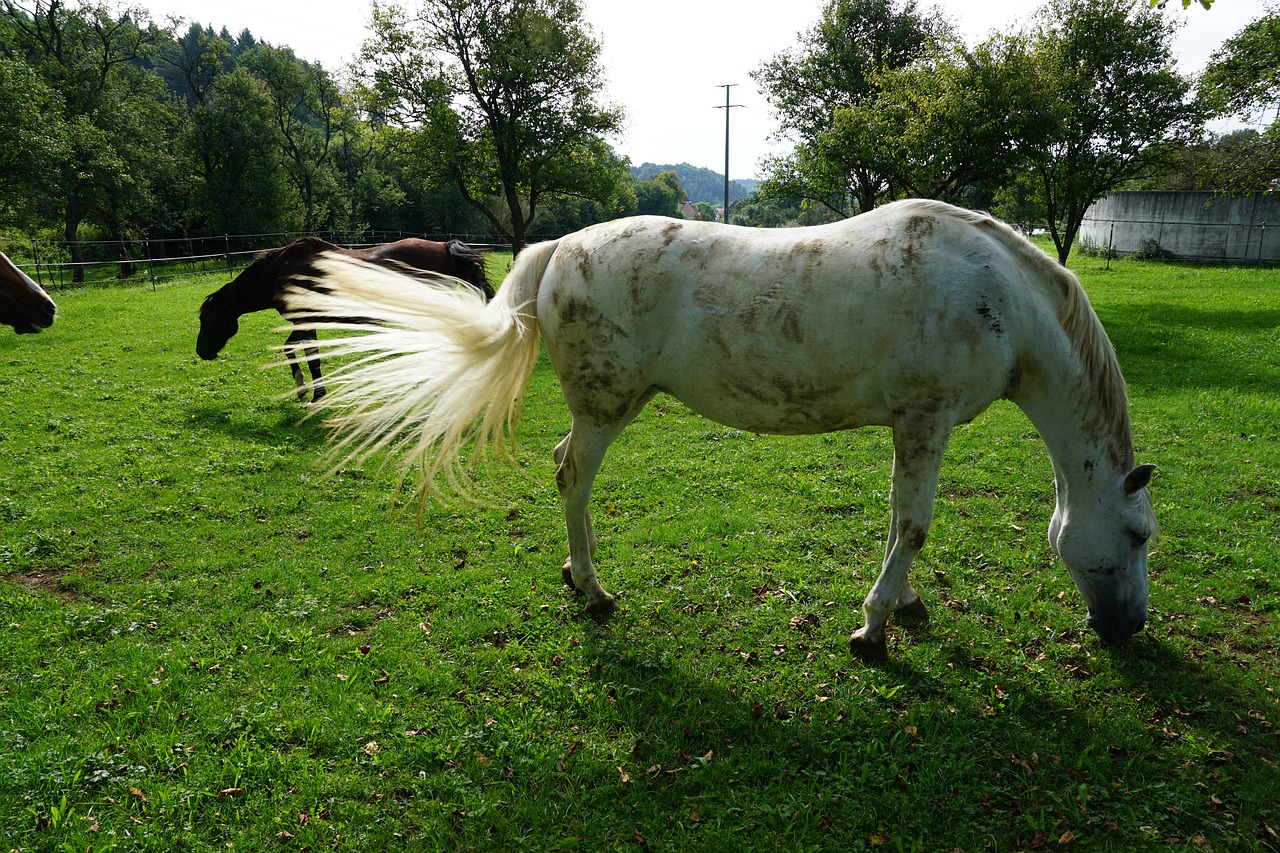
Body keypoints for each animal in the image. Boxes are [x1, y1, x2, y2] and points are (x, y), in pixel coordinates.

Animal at [197, 234, 491, 399]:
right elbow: (291, 349)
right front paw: (302, 387)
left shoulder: (305, 320)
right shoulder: (303, 320)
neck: (280, 270)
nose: (201, 352)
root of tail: (443, 246)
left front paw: (317, 395)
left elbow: (310, 357)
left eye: (206, 319)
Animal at [285, 199, 1157, 655]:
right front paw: (874, 625)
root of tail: (557, 249)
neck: (998, 296)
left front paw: (903, 604)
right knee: (572, 475)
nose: (1128, 628)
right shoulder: (923, 417)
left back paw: (576, 573)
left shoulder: (923, 426)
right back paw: (594, 589)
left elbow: (907, 526)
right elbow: (911, 524)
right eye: (1140, 534)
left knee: (568, 471)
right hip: (606, 407)